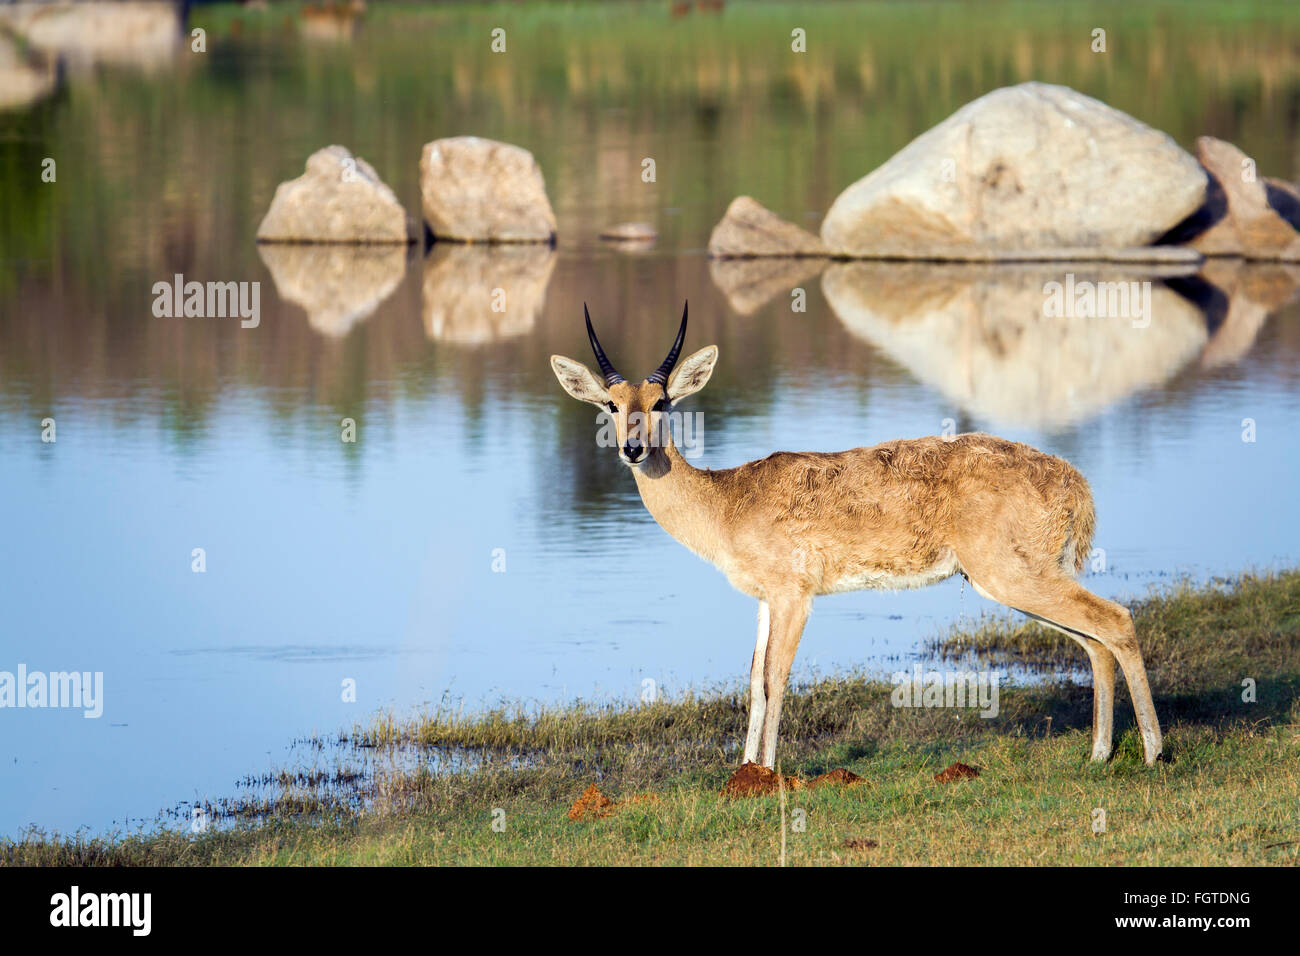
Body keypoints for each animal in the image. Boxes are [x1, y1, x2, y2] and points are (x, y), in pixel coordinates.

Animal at [553, 304, 1164, 770]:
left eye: (661, 403)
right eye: (611, 404)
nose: (633, 448)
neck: (727, 500)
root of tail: (1072, 480)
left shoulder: (796, 595)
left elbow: (775, 678)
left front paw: (767, 773)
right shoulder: (764, 599)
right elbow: (750, 681)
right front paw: (742, 772)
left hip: (1013, 576)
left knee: (1117, 620)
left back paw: (1154, 753)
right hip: (1017, 579)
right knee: (1094, 640)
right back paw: (1099, 755)